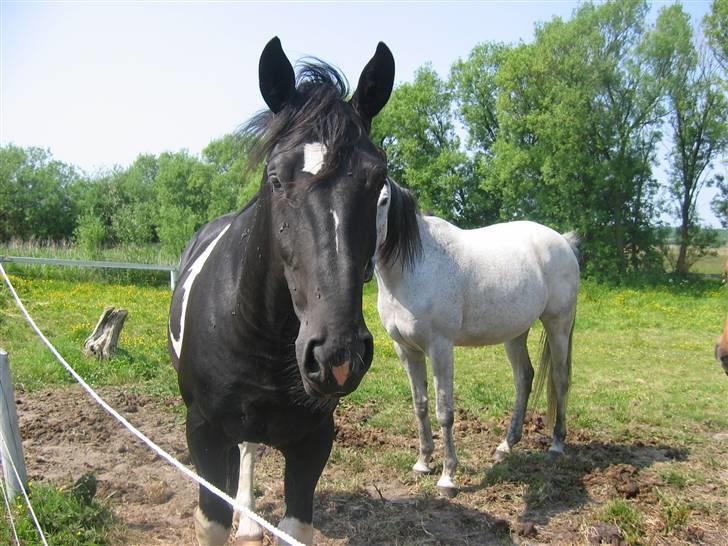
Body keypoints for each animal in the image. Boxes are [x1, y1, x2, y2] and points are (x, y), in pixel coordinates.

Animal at [168, 38, 396, 544]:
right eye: (275, 178)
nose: (336, 355)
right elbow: (211, 516)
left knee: (250, 450)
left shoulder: (313, 441)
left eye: (377, 180)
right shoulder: (204, 433)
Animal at [376, 177, 580, 492]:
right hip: (515, 333)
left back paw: (556, 444)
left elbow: (444, 411)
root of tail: (564, 242)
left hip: (558, 325)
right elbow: (420, 405)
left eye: (384, 199)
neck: (415, 268)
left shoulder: (440, 348)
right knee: (524, 378)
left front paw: (448, 477)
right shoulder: (406, 349)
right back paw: (505, 446)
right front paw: (422, 462)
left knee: (560, 380)